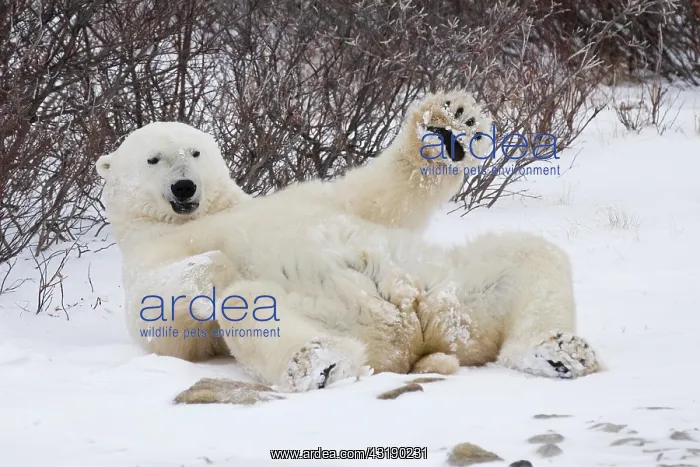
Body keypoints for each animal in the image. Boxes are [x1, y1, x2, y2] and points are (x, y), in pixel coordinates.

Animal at [96, 90, 600, 393]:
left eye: (195, 152)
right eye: (153, 159)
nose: (185, 187)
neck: (203, 216)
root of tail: (416, 341)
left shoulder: (312, 197)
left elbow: (381, 196)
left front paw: (447, 126)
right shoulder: (146, 257)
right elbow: (162, 321)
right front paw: (214, 264)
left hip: (454, 294)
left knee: (528, 256)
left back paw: (559, 351)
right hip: (333, 315)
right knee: (251, 306)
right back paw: (318, 364)